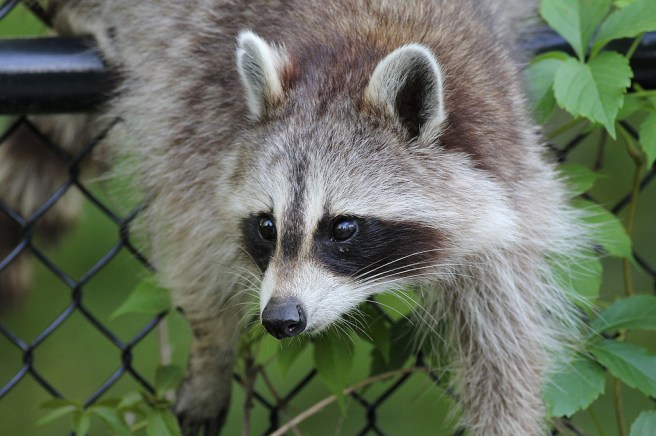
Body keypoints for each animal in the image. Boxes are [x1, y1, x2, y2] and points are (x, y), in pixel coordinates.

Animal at [1, 0, 586, 434]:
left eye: (343, 227)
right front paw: (212, 341)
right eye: (267, 226)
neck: (356, 52)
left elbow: (504, 338)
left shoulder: (507, 161)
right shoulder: (196, 104)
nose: (281, 319)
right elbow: (189, 230)